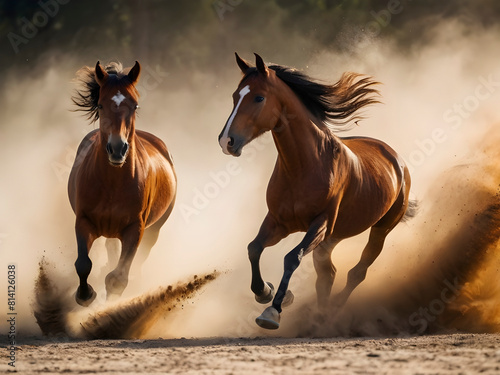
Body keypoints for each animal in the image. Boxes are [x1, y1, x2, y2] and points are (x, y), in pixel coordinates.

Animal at [69, 61, 177, 306]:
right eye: (100, 105)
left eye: (135, 105)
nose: (117, 149)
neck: (112, 184)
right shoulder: (84, 221)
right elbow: (83, 264)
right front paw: (85, 295)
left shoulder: (135, 229)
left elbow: (118, 278)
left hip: (154, 230)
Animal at [218, 54, 414, 330]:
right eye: (236, 95)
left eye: (258, 98)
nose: (227, 141)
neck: (304, 166)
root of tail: (397, 160)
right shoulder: (278, 222)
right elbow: (253, 248)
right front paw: (265, 292)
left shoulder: (320, 224)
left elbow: (292, 257)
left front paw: (273, 311)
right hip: (332, 238)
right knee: (328, 274)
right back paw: (319, 316)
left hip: (380, 229)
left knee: (357, 272)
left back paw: (333, 311)